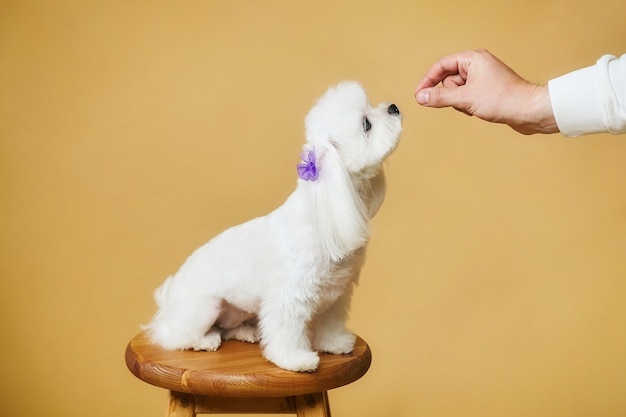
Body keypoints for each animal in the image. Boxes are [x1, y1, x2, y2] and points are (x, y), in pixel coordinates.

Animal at [143, 81, 400, 370]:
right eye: (367, 124)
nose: (394, 107)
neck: (322, 213)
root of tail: (168, 305)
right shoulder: (289, 296)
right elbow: (287, 332)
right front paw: (296, 359)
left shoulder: (337, 293)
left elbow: (330, 323)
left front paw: (334, 344)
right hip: (204, 308)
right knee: (175, 336)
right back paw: (204, 340)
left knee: (226, 328)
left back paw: (246, 332)